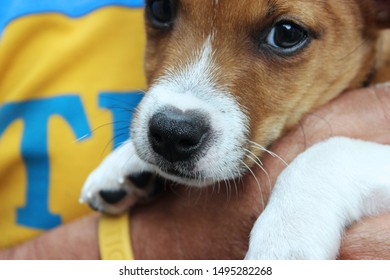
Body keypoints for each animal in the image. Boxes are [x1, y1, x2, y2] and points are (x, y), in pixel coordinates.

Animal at [79, 0, 390, 260]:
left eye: (287, 34)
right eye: (161, 8)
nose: (171, 134)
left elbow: (326, 152)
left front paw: (283, 239)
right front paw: (123, 161)